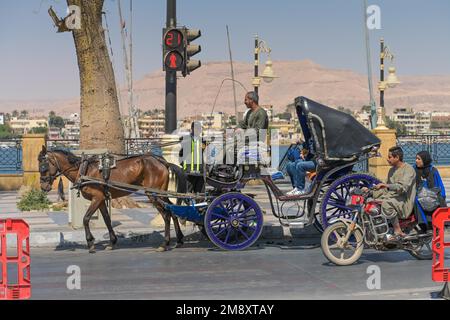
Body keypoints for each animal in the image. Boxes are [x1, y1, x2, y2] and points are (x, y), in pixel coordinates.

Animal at [37, 146, 186, 254]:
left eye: (43, 166)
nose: (43, 187)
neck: (84, 170)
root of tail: (162, 161)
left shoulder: (96, 198)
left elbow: (86, 219)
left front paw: (90, 243)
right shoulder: (101, 200)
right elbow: (107, 220)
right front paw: (111, 242)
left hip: (153, 194)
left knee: (166, 215)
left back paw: (164, 244)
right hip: (161, 193)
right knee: (172, 210)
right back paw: (179, 240)